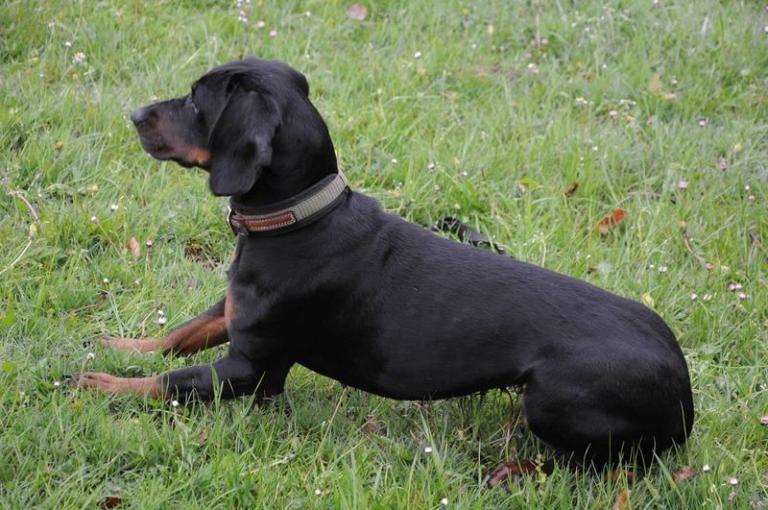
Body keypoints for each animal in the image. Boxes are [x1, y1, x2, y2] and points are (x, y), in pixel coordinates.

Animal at [77, 58, 694, 473]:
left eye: (194, 102)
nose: (134, 113)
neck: (300, 220)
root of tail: (685, 392)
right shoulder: (232, 315)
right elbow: (179, 335)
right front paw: (116, 346)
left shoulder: (252, 372)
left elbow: (169, 382)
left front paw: (98, 384)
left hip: (552, 399)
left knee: (600, 464)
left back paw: (516, 469)